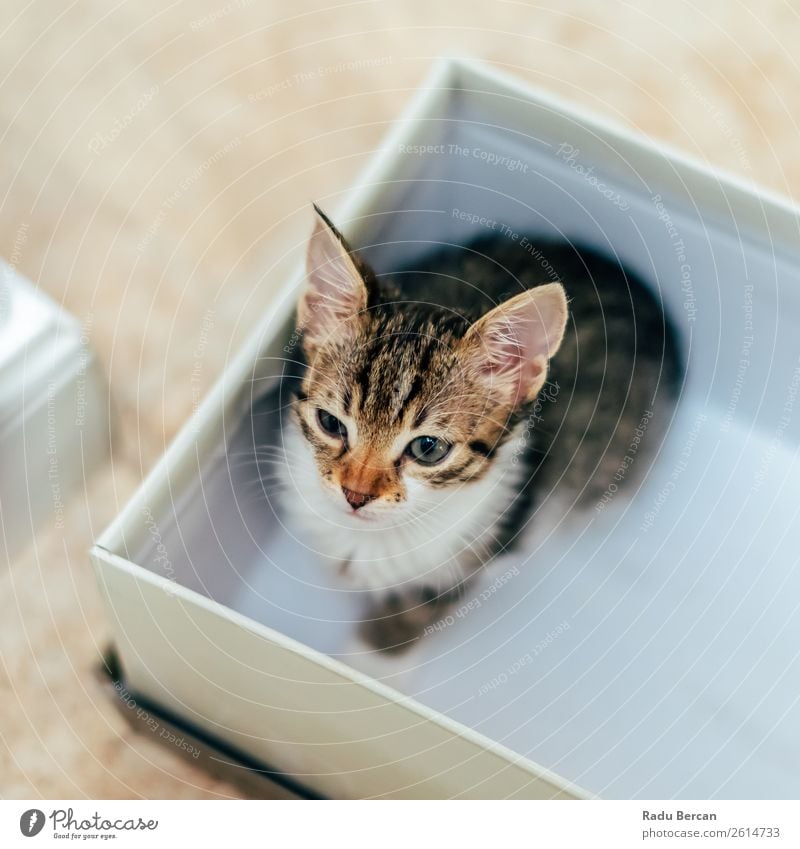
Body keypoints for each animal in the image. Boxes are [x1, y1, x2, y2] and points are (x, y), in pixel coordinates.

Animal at [276, 204, 680, 648]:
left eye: (428, 449)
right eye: (330, 423)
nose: (355, 495)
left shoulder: (481, 549)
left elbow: (417, 609)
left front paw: (369, 653)